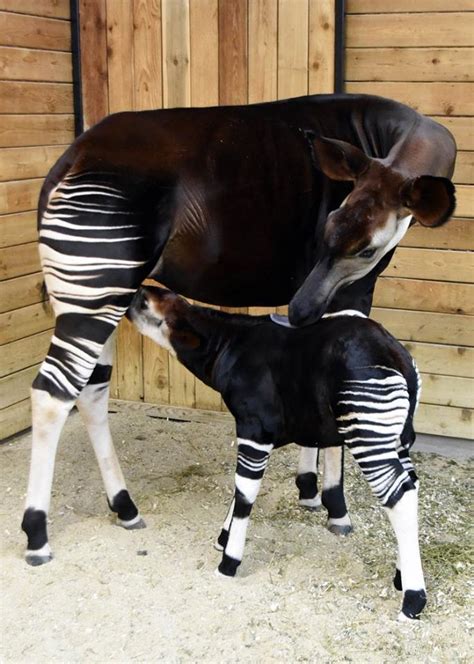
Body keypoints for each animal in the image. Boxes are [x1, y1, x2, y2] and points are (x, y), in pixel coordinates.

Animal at [130, 286, 426, 624]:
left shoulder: (254, 429)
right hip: (399, 437)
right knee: (411, 487)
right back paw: (402, 576)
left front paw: (229, 561)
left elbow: (245, 492)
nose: (132, 296)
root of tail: (398, 358)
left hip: (368, 434)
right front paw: (223, 539)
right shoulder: (264, 435)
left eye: (142, 303)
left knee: (399, 495)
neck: (228, 346)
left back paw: (413, 599)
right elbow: (240, 489)